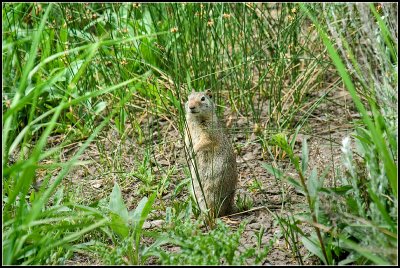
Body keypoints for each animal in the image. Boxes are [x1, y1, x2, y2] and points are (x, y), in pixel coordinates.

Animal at [184, 90, 238, 218]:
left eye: (203, 98)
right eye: (188, 98)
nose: (191, 107)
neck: (196, 119)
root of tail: (229, 208)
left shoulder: (209, 134)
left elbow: (205, 142)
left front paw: (193, 152)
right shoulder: (187, 131)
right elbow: (186, 141)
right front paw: (187, 152)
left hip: (211, 191)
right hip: (196, 190)